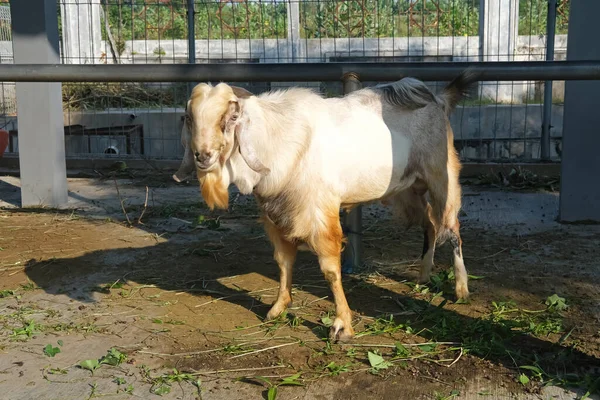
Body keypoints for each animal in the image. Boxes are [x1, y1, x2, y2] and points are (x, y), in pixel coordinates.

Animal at [175, 71, 478, 340]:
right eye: (189, 118)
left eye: (231, 117)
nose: (203, 156)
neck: (278, 139)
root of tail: (438, 100)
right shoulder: (276, 215)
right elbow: (283, 262)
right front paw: (277, 308)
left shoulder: (320, 214)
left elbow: (330, 271)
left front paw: (342, 326)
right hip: (406, 190)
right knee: (430, 224)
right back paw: (423, 275)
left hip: (442, 177)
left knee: (452, 228)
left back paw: (461, 289)